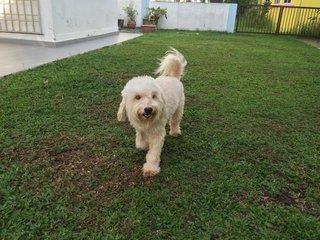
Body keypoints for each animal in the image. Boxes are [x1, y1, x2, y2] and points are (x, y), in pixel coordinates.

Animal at [117, 48, 188, 176]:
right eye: (137, 97)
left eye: (154, 96)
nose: (148, 109)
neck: (146, 122)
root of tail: (173, 77)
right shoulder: (139, 128)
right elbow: (139, 143)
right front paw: (145, 145)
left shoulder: (157, 133)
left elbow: (153, 152)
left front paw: (151, 168)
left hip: (179, 108)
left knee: (175, 121)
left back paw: (175, 131)